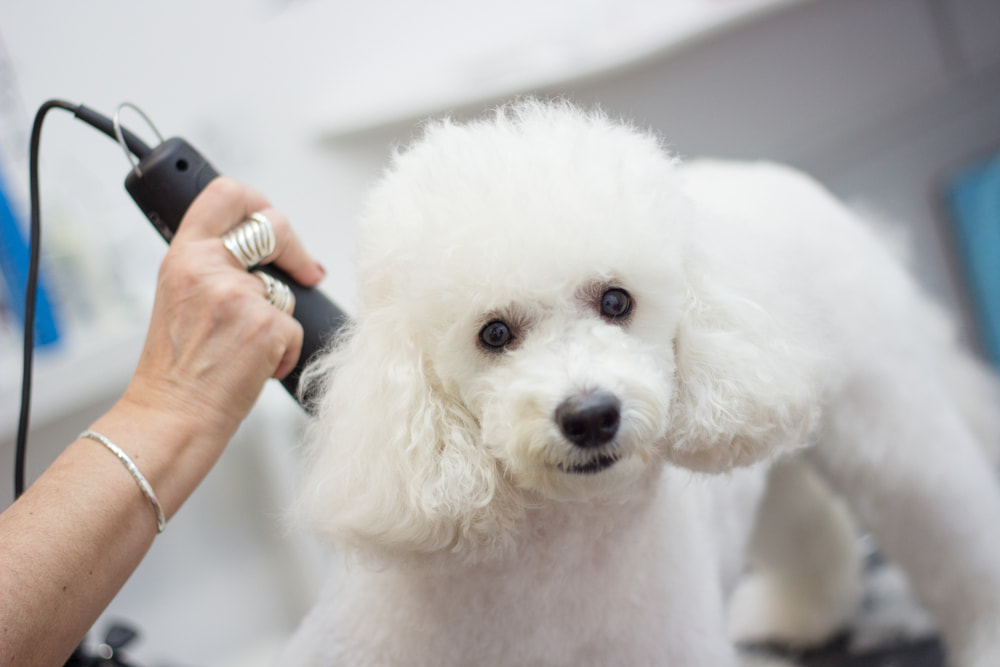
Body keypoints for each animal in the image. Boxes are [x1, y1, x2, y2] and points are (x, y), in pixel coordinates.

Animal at [280, 99, 1000, 667]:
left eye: (616, 300)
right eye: (494, 333)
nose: (591, 415)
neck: (548, 566)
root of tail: (779, 175)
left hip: (893, 430)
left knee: (952, 529)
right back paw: (800, 615)